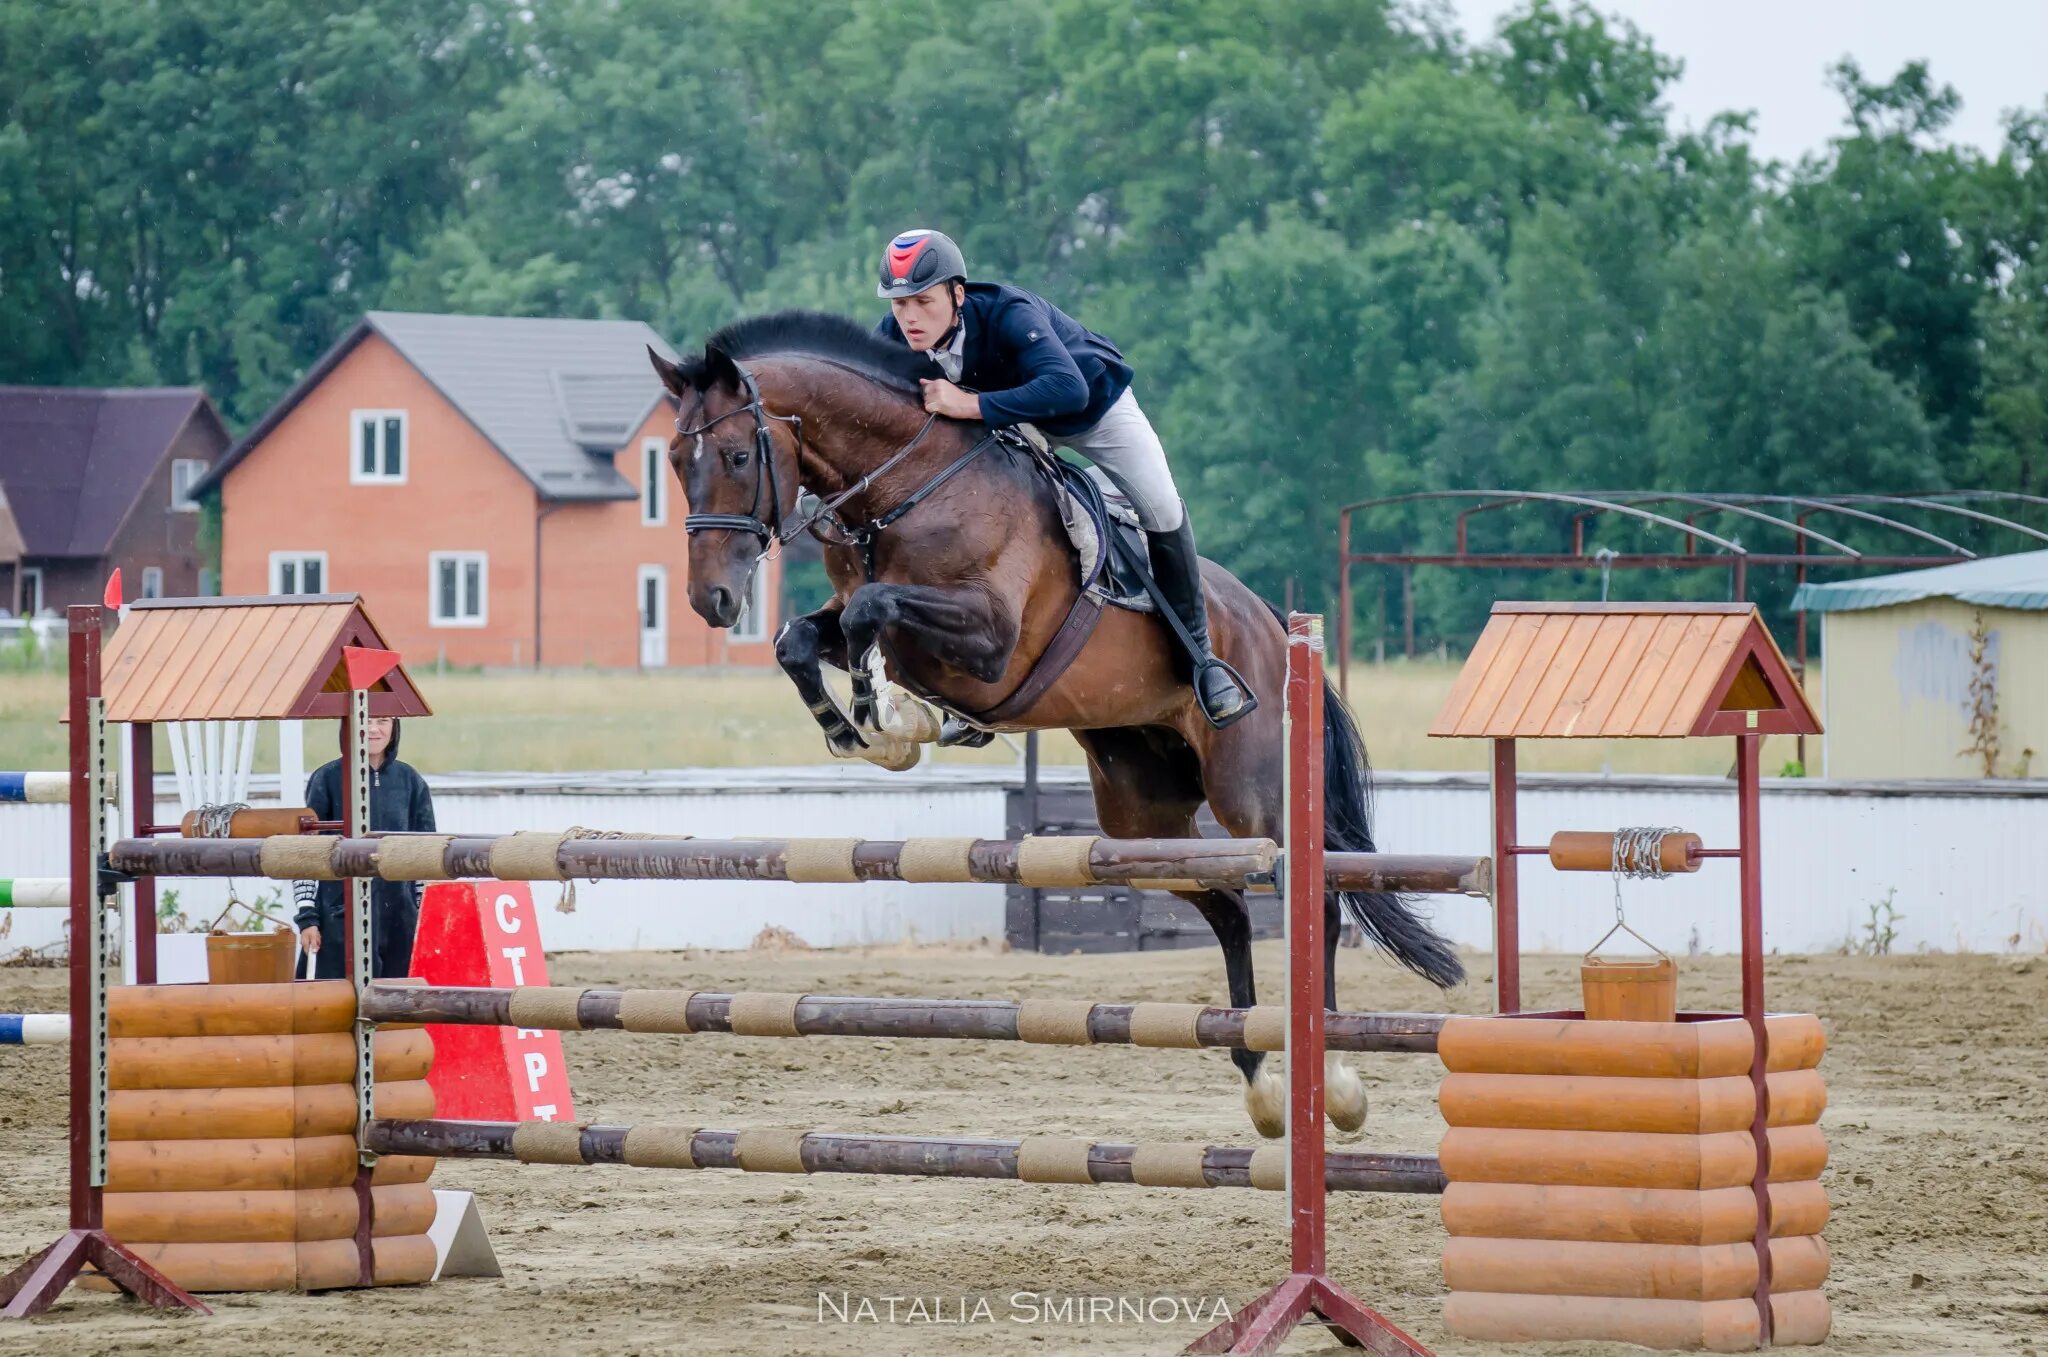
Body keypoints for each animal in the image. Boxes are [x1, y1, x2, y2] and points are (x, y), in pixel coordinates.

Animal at [647, 311, 1466, 1137]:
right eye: (675, 462)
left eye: (738, 454)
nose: (712, 600)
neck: (909, 487)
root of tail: (1272, 622)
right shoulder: (875, 618)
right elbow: (806, 636)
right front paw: (865, 730)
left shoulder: (991, 639)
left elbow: (870, 610)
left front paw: (897, 718)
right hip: (1142, 819)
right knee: (1230, 909)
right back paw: (1261, 1080)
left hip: (1253, 795)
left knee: (1314, 900)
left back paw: (1333, 1081)